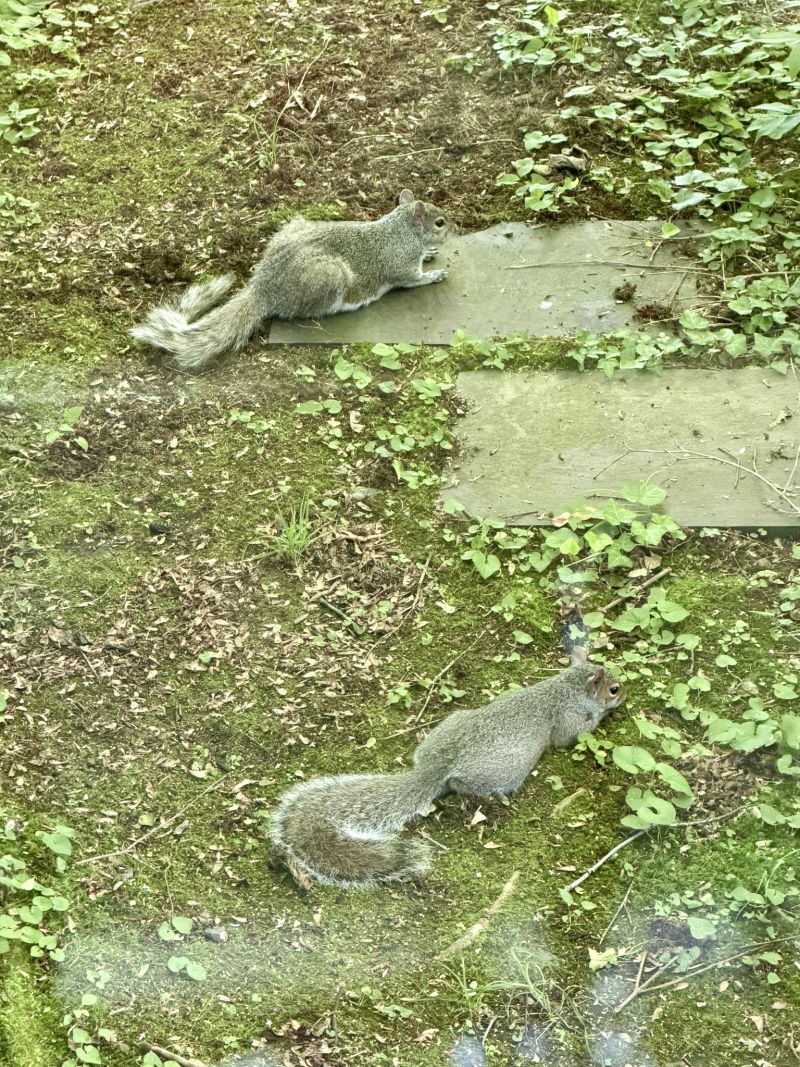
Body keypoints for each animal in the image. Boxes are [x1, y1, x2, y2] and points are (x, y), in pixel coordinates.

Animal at [130, 189, 450, 371]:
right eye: (440, 223)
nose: (455, 228)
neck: (401, 229)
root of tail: (264, 289)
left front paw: (430, 254)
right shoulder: (401, 265)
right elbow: (411, 279)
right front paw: (433, 274)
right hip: (328, 277)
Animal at [269, 662, 625, 890]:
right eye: (613, 688)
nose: (626, 695)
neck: (565, 688)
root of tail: (434, 768)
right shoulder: (568, 718)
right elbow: (569, 737)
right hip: (505, 770)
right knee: (461, 785)